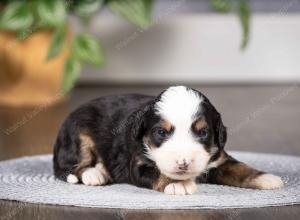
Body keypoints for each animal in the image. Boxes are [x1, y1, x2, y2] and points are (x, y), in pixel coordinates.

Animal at [54, 85, 284, 195]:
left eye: (203, 132)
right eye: (161, 133)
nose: (183, 162)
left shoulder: (218, 159)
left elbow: (239, 168)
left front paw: (267, 178)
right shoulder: (138, 164)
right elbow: (160, 173)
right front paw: (179, 184)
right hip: (79, 134)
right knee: (69, 166)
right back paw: (94, 174)